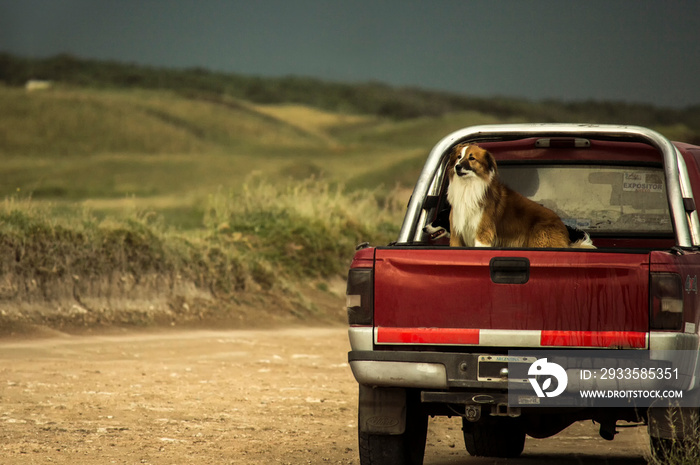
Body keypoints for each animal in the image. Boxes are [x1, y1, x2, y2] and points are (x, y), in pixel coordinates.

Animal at [446, 144, 592, 246]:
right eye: (459, 157)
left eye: (471, 158)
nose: (457, 166)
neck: (467, 186)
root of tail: (562, 227)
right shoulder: (456, 234)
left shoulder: (483, 234)